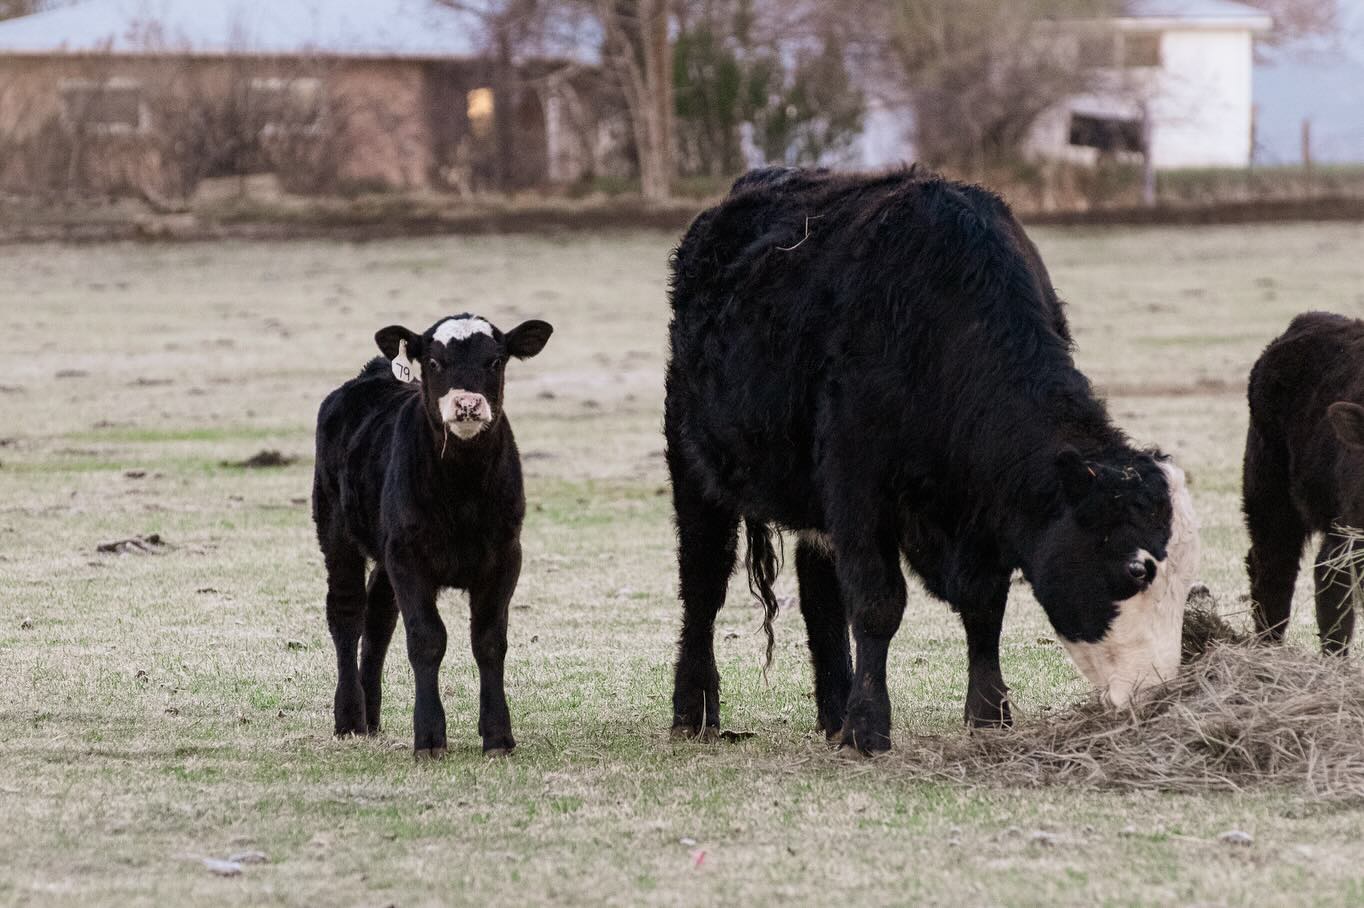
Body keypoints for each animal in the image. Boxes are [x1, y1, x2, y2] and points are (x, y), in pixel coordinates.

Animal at [312, 314, 553, 758]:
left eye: (496, 360)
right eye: (434, 362)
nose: (468, 405)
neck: (462, 487)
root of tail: (371, 375)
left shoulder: (505, 555)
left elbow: (489, 640)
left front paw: (498, 735)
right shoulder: (409, 557)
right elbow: (426, 638)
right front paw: (428, 737)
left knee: (378, 616)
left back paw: (371, 715)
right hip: (334, 526)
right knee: (347, 611)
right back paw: (350, 718)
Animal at [664, 167, 1200, 754]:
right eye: (1136, 568)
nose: (1156, 694)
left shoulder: (981, 515)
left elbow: (985, 607)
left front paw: (988, 715)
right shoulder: (859, 485)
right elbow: (877, 603)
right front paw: (869, 728)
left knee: (819, 595)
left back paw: (834, 710)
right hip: (693, 466)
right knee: (703, 583)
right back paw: (696, 711)